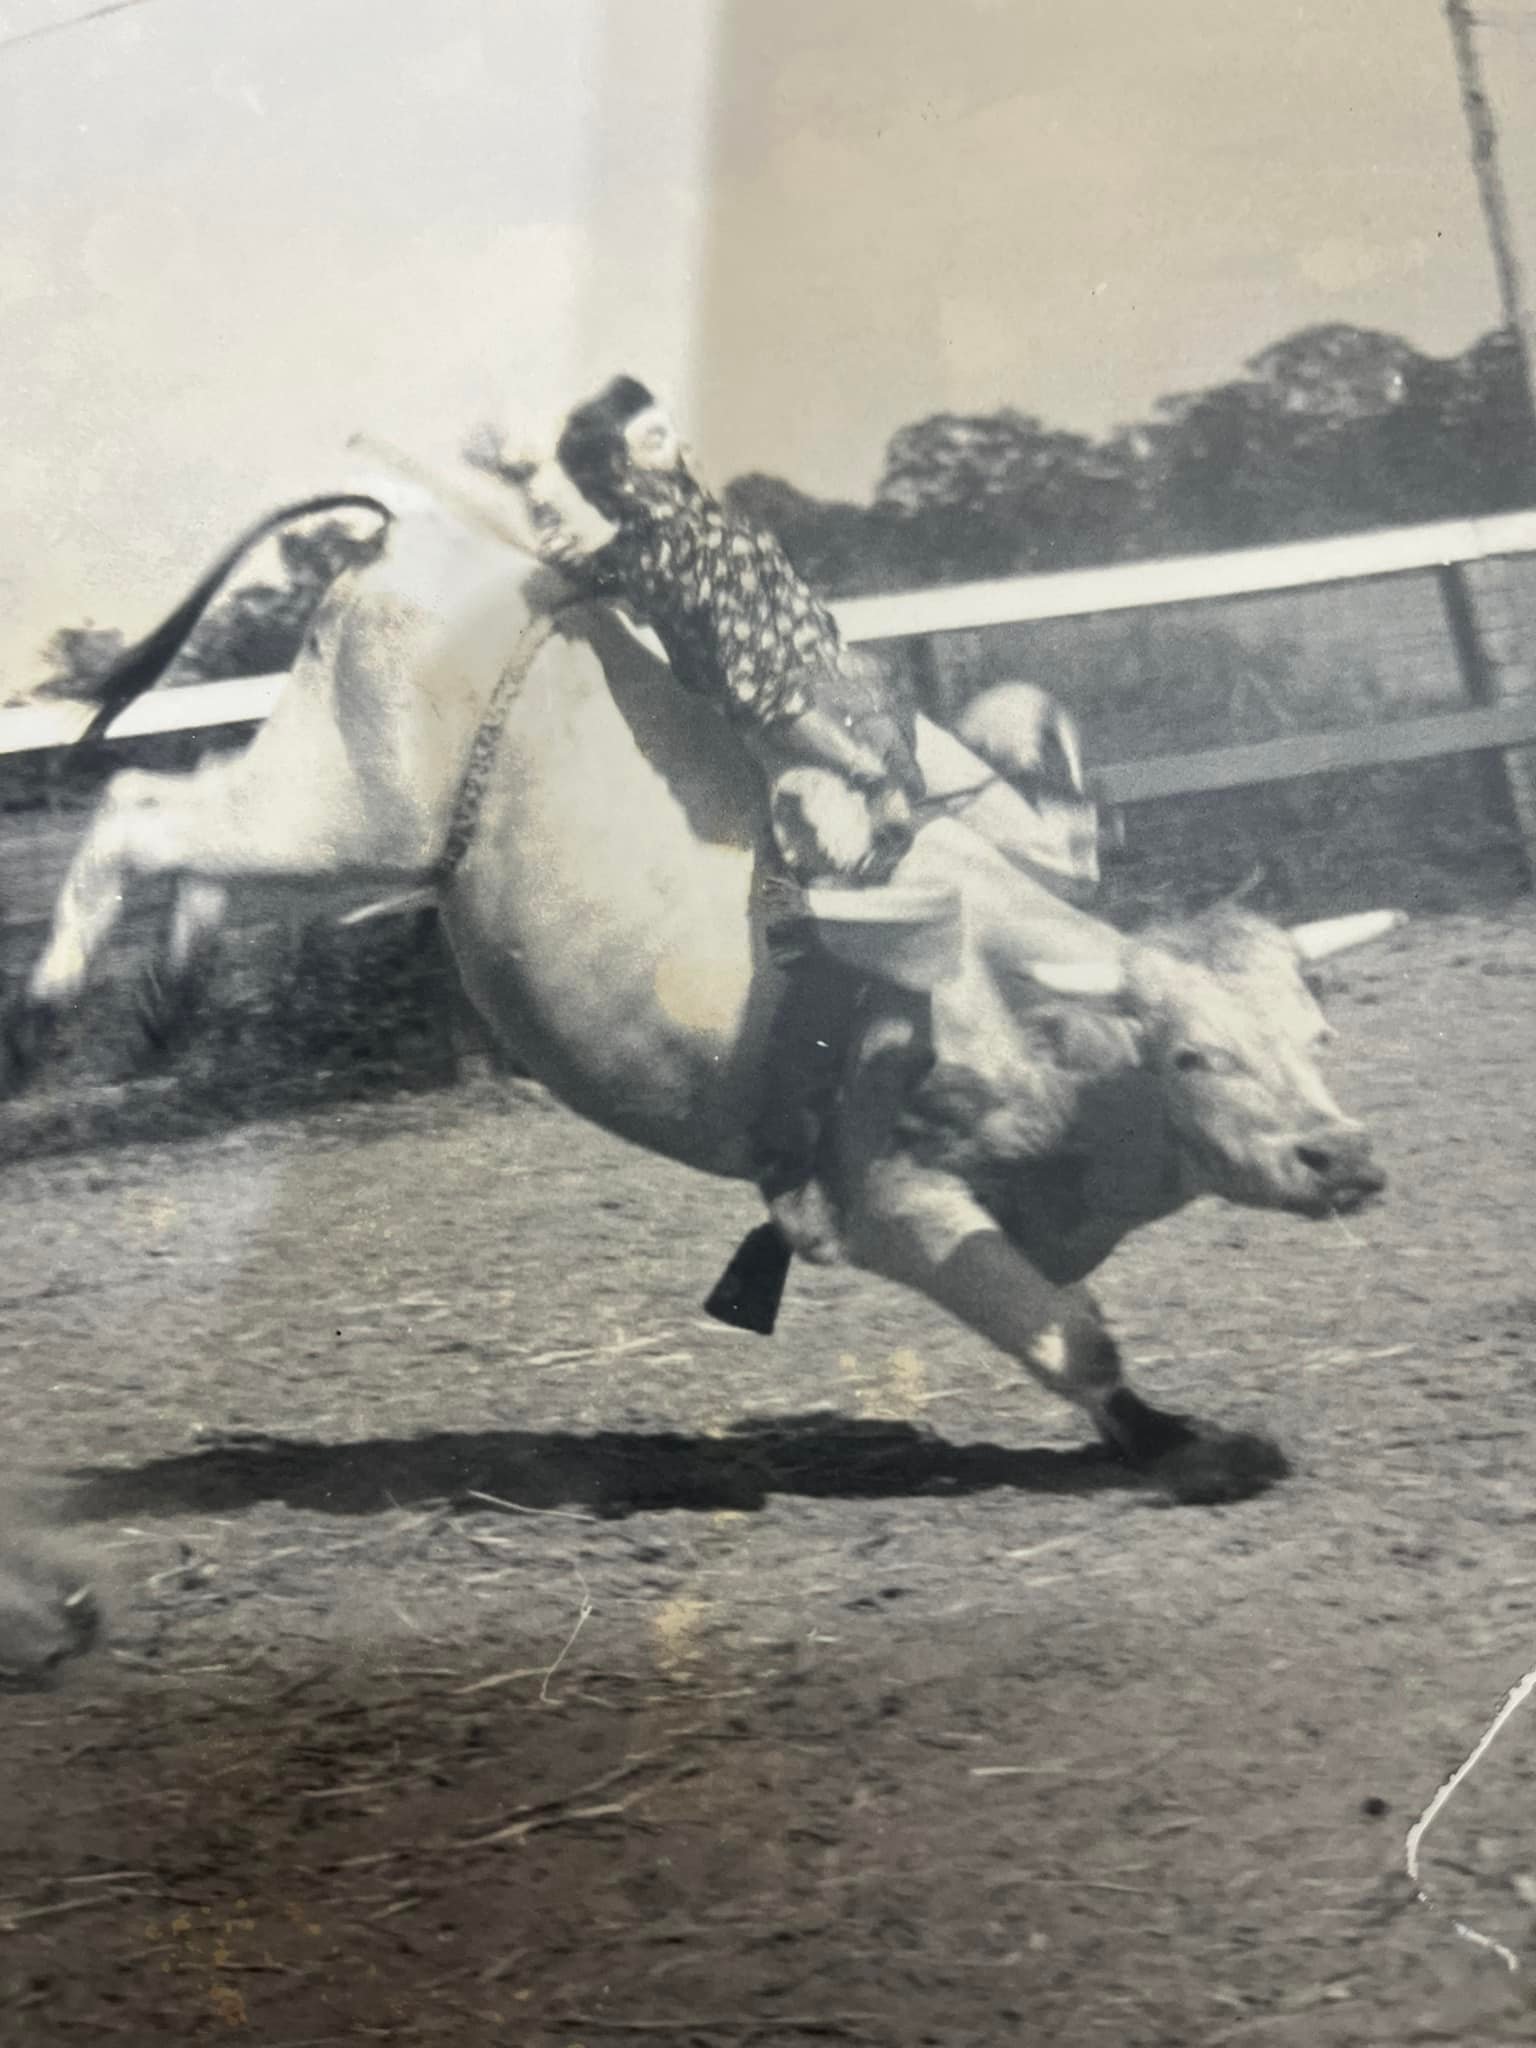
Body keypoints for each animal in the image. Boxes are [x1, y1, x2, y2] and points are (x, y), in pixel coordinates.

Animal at [5, 484, 1398, 1505]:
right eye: (1195, 1055)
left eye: (1320, 1033)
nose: (1343, 1155)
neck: (1024, 1020)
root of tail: (422, 537)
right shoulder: (891, 1196)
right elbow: (1072, 1333)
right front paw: (1189, 1450)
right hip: (348, 803)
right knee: (139, 811)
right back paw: (49, 1006)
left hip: (353, 834)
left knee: (194, 840)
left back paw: (168, 991)